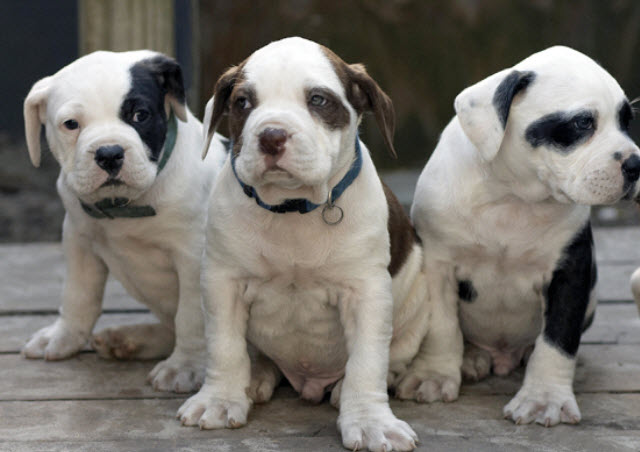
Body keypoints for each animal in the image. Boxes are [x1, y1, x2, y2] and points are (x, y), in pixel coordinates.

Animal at [22, 50, 226, 392]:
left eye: (140, 115)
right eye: (71, 124)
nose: (108, 153)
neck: (124, 207)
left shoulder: (194, 256)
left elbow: (191, 316)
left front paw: (184, 366)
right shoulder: (78, 239)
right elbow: (78, 294)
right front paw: (64, 337)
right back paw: (129, 340)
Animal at [178, 36, 458, 452]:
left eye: (318, 100)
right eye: (243, 102)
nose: (271, 135)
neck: (293, 209)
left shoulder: (366, 294)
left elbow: (367, 361)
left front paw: (370, 421)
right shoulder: (222, 283)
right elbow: (224, 346)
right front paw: (219, 400)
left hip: (417, 304)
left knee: (392, 356)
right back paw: (255, 376)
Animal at [410, 46, 640, 428]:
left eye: (626, 121)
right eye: (582, 123)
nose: (636, 164)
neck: (514, 198)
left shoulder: (570, 270)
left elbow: (558, 336)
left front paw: (544, 397)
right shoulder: (437, 264)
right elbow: (441, 325)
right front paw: (434, 375)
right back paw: (470, 357)